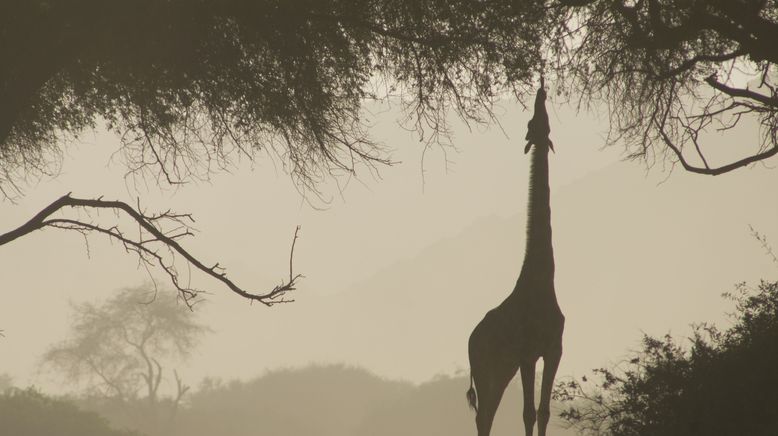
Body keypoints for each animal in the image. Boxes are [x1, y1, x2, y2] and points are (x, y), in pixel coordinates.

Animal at [464, 80, 560, 434]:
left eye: (543, 122)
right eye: (533, 122)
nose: (542, 90)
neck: (543, 281)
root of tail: (470, 341)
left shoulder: (554, 349)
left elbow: (544, 411)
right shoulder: (528, 353)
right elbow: (528, 412)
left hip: (502, 369)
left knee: (486, 413)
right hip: (487, 368)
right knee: (483, 416)